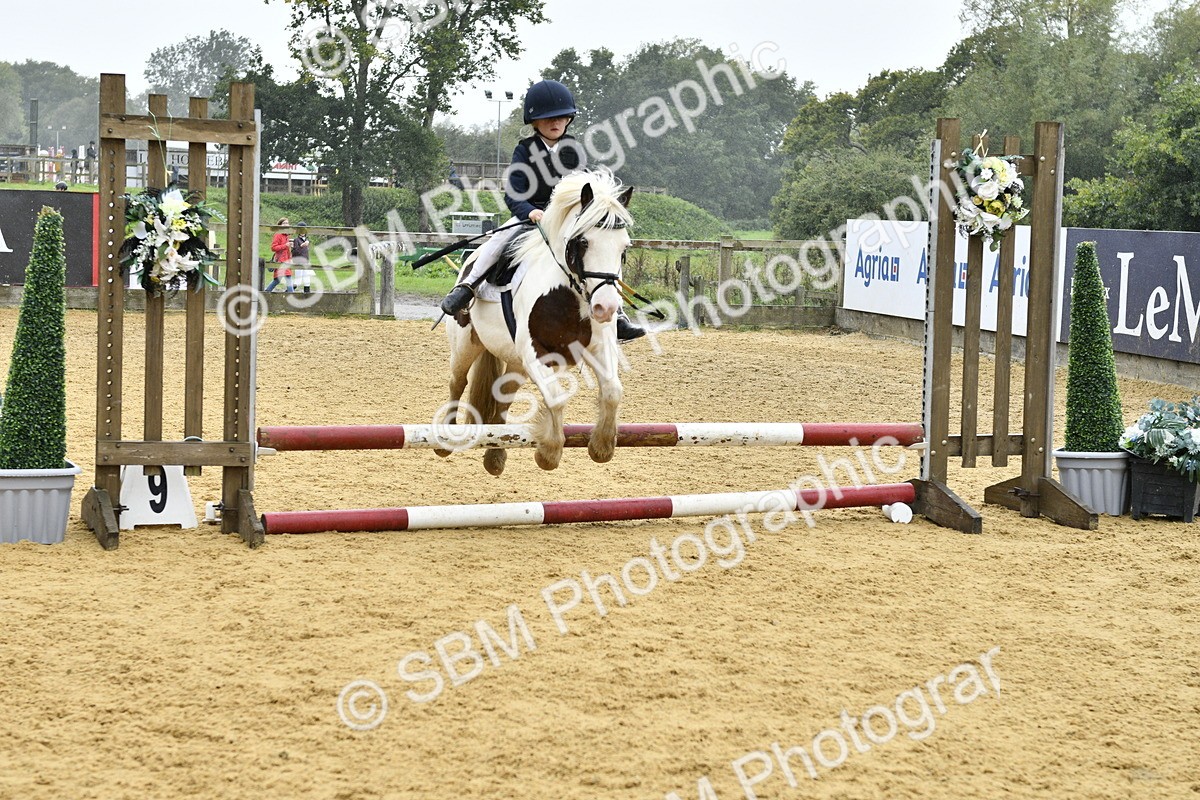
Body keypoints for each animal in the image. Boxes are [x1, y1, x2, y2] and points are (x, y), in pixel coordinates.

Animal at [441, 169, 634, 476]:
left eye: (624, 247)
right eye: (583, 242)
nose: (606, 307)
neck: (568, 295)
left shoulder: (600, 347)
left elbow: (613, 391)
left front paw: (601, 447)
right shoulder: (536, 353)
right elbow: (556, 397)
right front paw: (549, 453)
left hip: (515, 362)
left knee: (503, 394)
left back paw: (495, 457)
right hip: (465, 345)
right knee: (457, 382)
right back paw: (445, 440)